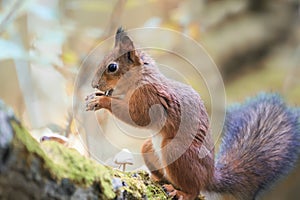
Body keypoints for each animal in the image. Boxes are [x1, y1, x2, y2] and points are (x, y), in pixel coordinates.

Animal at [85, 28, 300, 200]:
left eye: (112, 67)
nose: (94, 85)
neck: (140, 79)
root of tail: (210, 176)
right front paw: (94, 97)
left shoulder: (150, 98)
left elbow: (138, 117)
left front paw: (101, 101)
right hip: (149, 148)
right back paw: (153, 176)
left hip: (176, 151)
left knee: (194, 191)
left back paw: (180, 192)